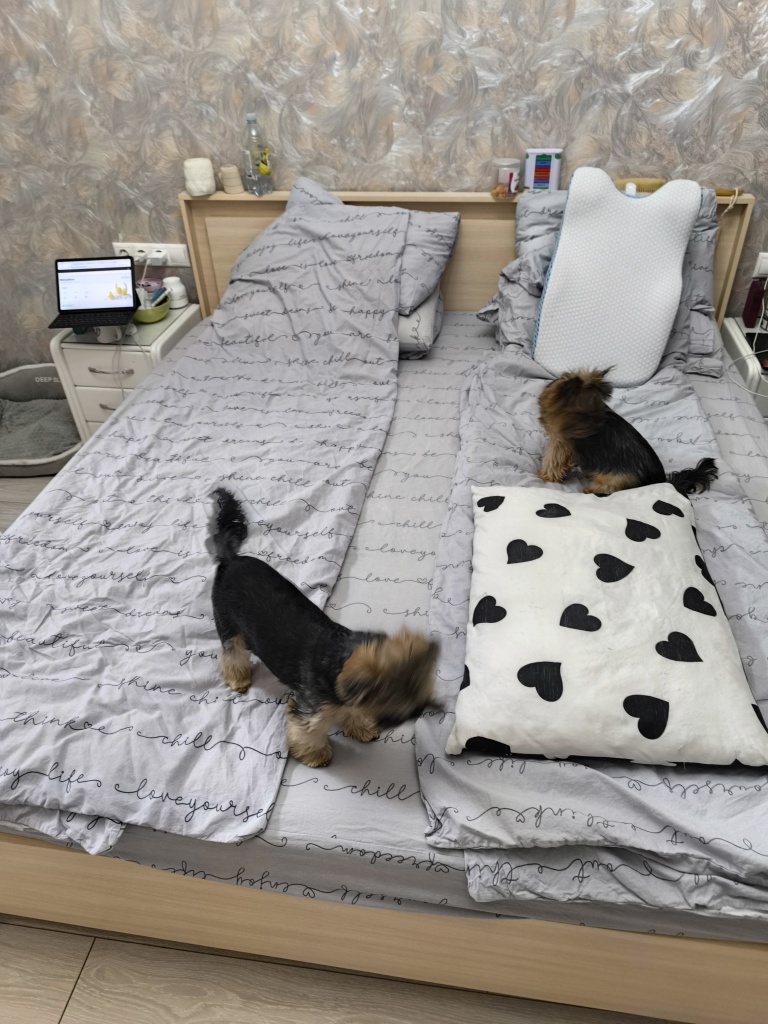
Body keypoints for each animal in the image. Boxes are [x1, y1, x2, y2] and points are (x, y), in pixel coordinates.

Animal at [209, 488, 439, 768]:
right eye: (395, 717)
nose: (429, 708)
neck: (340, 654)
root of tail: (230, 559)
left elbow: (351, 710)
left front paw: (360, 728)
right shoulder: (310, 709)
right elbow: (309, 731)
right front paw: (317, 755)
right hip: (227, 623)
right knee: (231, 654)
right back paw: (238, 678)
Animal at [537, 369, 718, 496]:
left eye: (597, 416)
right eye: (586, 419)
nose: (596, 428)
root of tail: (662, 482)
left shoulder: (560, 442)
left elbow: (552, 461)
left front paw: (543, 475)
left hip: (615, 480)